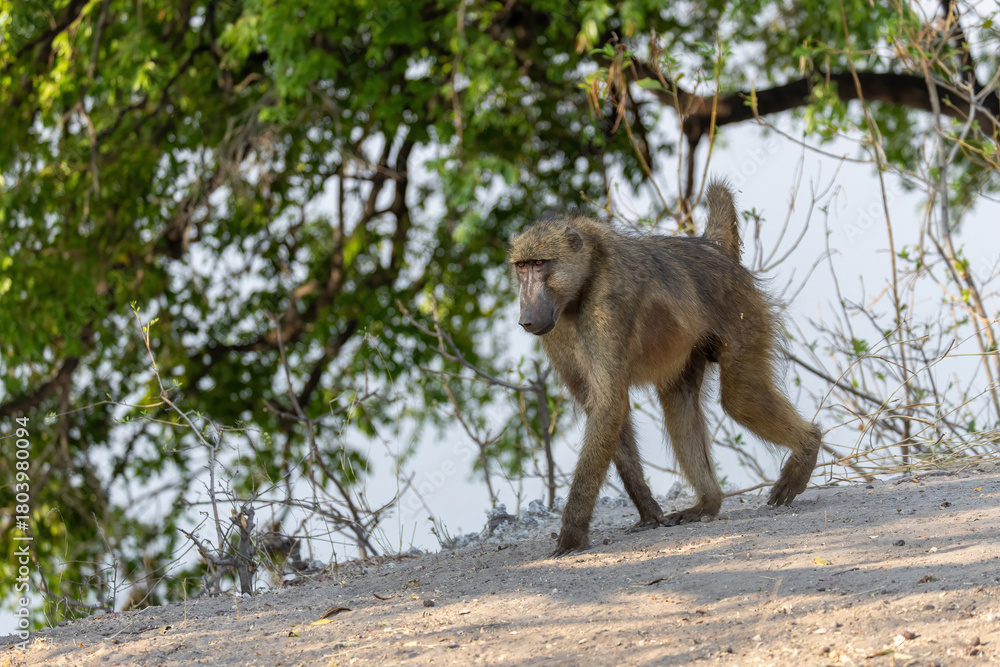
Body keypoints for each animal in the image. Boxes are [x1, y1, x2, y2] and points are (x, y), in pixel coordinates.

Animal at [508, 180, 821, 557]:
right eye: (522, 267)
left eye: (541, 264)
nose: (526, 318)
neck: (583, 281)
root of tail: (713, 247)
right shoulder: (555, 333)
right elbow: (603, 409)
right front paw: (648, 512)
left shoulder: (606, 307)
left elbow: (608, 406)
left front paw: (571, 537)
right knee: (679, 402)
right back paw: (707, 504)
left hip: (742, 313)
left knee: (740, 397)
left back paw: (807, 449)